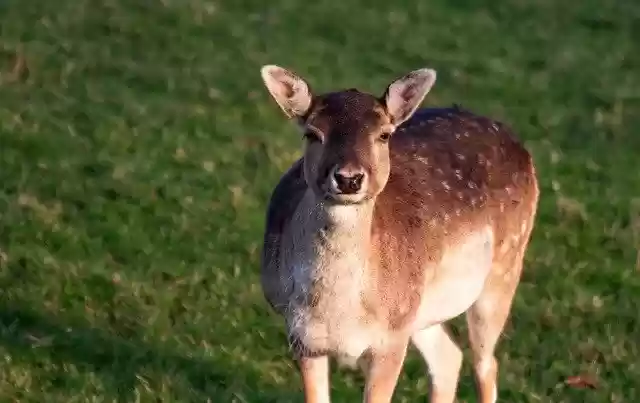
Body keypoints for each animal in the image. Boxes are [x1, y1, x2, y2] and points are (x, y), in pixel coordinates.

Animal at [259, 64, 539, 403]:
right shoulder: (303, 338)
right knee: (449, 357)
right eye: (312, 133)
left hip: (504, 267)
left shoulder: (389, 340)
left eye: (384, 134)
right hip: (420, 311)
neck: (337, 311)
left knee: (486, 364)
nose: (349, 178)